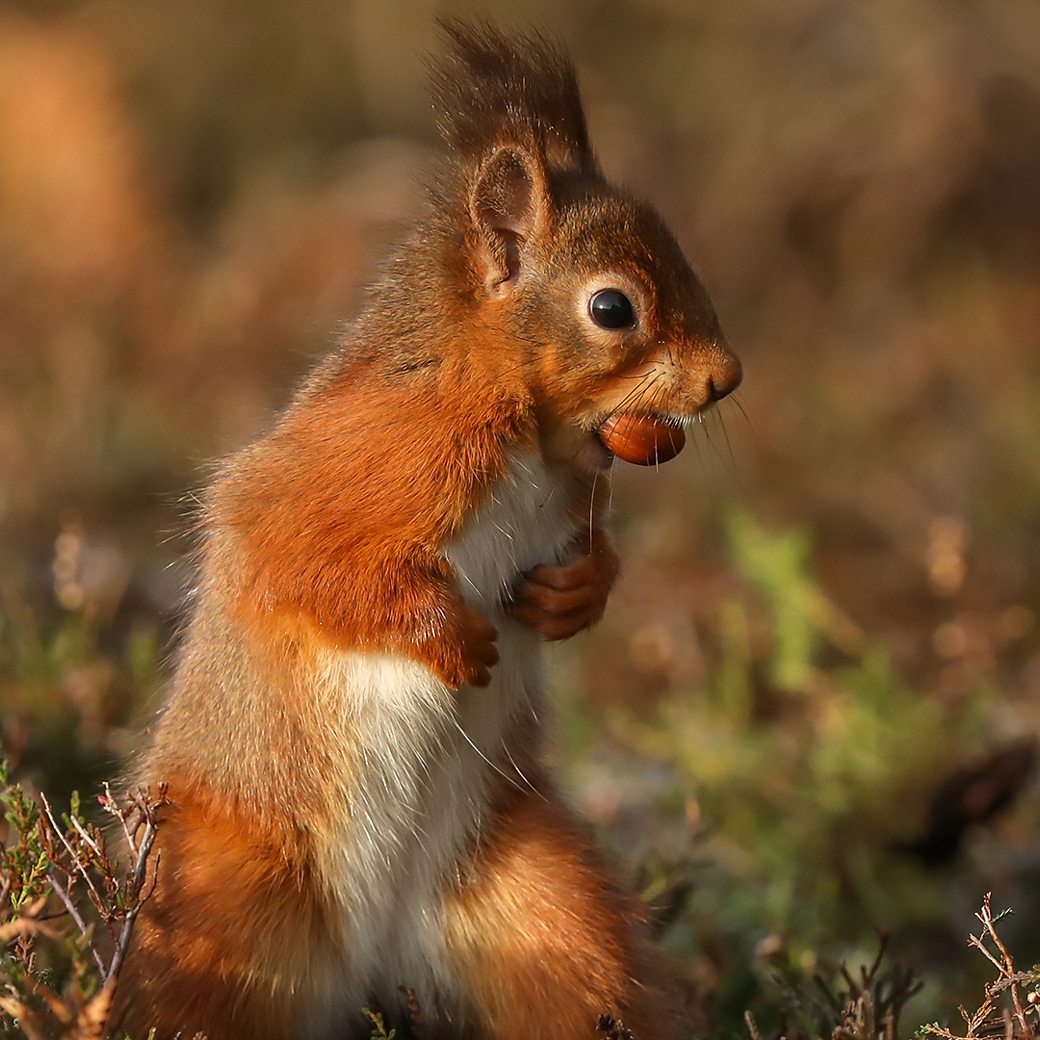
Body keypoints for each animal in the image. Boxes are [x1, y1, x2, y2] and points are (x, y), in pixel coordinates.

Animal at [119, 22, 740, 1040]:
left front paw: (574, 596)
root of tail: (369, 961)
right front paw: (446, 635)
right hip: (223, 908)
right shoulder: (366, 463)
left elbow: (592, 562)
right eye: (613, 307)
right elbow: (295, 557)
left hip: (537, 900)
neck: (531, 438)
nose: (727, 378)